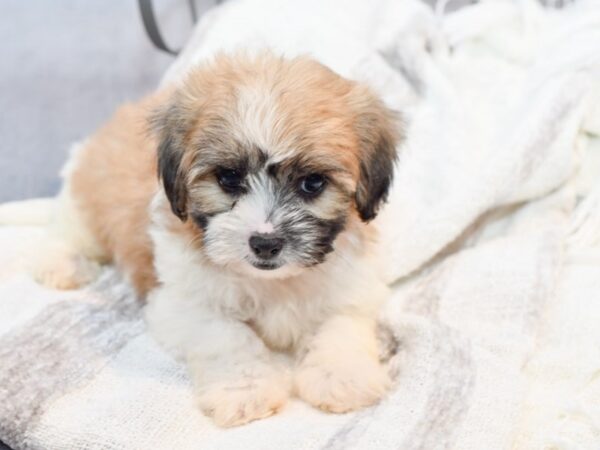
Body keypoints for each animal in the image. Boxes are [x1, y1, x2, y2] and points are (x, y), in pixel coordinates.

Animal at [36, 51, 404, 426]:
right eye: (228, 178)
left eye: (312, 183)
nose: (265, 243)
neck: (273, 283)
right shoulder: (183, 302)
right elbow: (229, 336)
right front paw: (245, 390)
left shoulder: (351, 287)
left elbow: (341, 325)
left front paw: (341, 377)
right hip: (88, 194)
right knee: (69, 227)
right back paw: (62, 264)